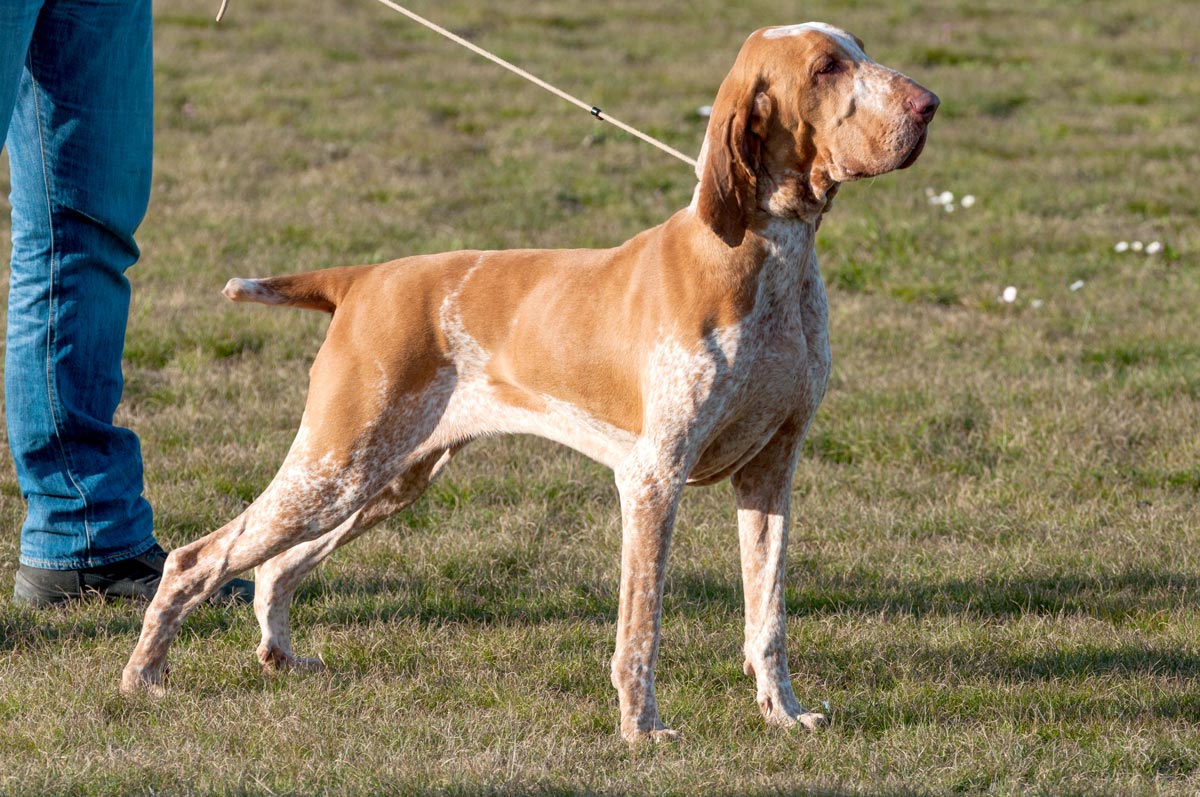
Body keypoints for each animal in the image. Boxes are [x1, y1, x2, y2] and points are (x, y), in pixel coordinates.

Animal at [126, 21, 940, 739]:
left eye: (861, 49)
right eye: (826, 68)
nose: (929, 104)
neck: (770, 256)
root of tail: (362, 279)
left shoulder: (771, 468)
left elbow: (766, 618)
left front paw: (783, 714)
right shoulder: (653, 478)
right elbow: (640, 631)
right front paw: (641, 729)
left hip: (384, 478)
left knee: (273, 568)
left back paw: (279, 656)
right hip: (336, 466)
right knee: (197, 558)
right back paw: (143, 676)